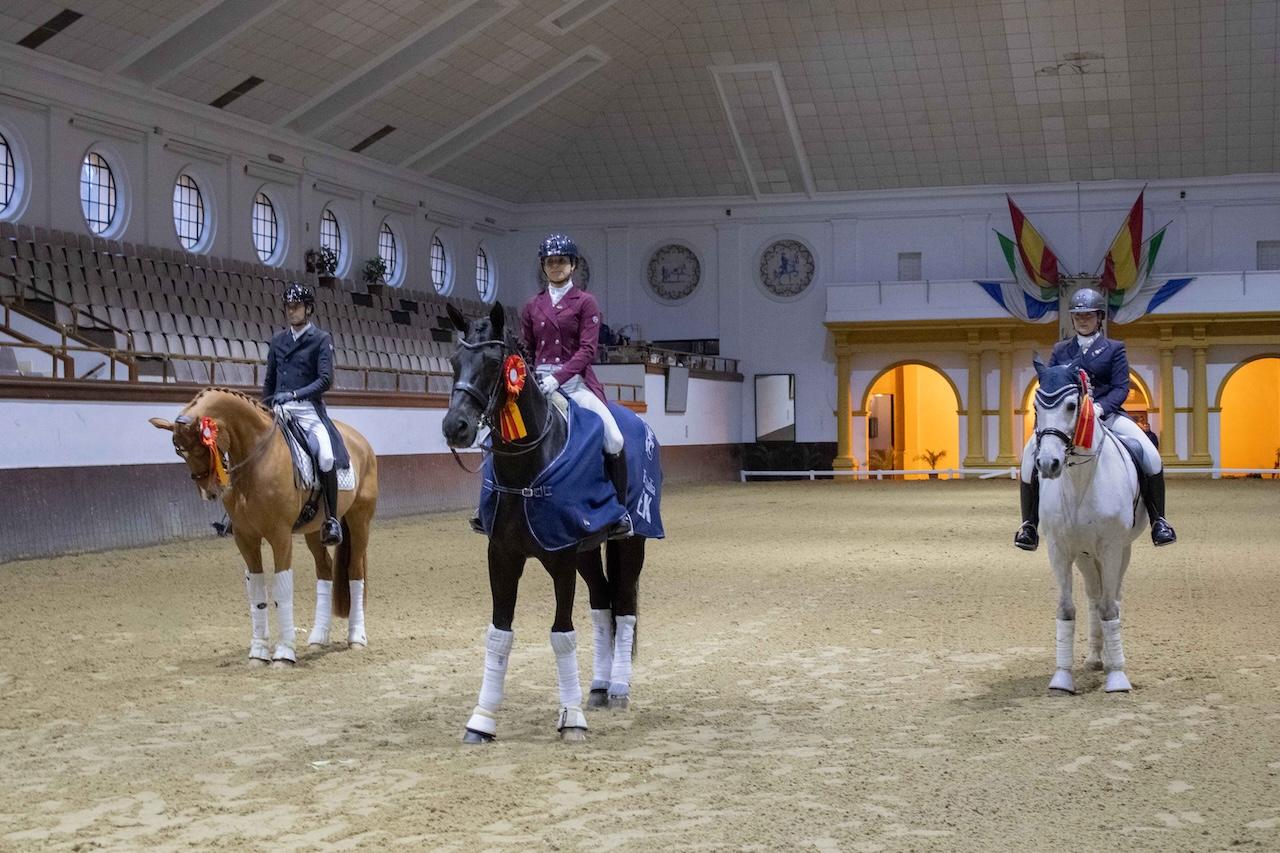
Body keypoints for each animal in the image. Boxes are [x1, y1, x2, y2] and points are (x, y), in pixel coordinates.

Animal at [150, 384, 376, 666]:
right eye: (180, 451)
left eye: (202, 446)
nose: (210, 492)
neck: (257, 457)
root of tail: (361, 441)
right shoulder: (245, 537)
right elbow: (256, 591)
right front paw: (258, 653)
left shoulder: (280, 535)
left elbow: (282, 589)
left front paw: (284, 654)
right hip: (315, 530)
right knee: (325, 570)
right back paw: (318, 638)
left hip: (359, 520)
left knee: (355, 572)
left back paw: (357, 638)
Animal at [442, 302, 650, 742]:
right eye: (454, 361)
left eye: (493, 362)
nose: (456, 427)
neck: (527, 469)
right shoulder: (502, 556)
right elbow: (499, 634)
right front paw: (481, 720)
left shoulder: (561, 559)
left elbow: (562, 635)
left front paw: (571, 719)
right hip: (587, 551)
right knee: (602, 602)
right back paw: (599, 687)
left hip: (631, 541)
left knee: (624, 607)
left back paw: (619, 689)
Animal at [1034, 356, 1146, 696]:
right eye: (1036, 406)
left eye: (1072, 405)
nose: (1048, 464)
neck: (1081, 481)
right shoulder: (1059, 550)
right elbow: (1066, 610)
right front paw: (1062, 678)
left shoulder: (1110, 548)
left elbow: (1111, 609)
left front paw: (1118, 678)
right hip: (1085, 555)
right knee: (1094, 599)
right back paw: (1097, 658)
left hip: (1121, 551)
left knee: (1112, 599)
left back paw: (1111, 660)